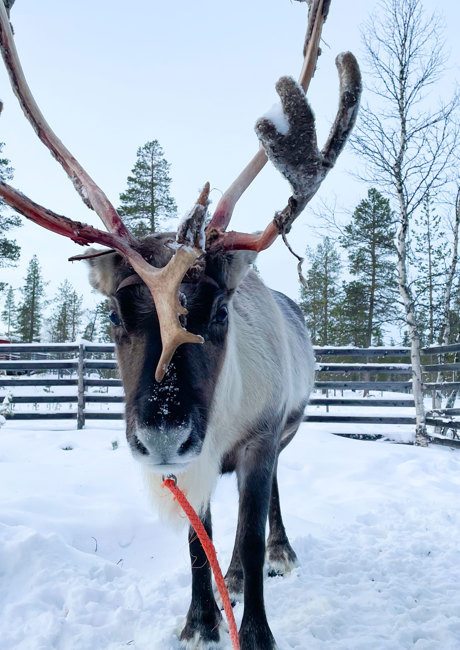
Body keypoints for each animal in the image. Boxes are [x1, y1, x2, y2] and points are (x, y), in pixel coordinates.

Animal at [0, 1, 361, 648]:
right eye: (114, 312)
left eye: (219, 310)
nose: (163, 433)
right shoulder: (195, 463)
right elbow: (200, 544)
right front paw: (200, 621)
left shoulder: (259, 440)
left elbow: (248, 530)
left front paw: (257, 631)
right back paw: (232, 578)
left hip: (285, 431)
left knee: (268, 509)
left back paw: (275, 555)